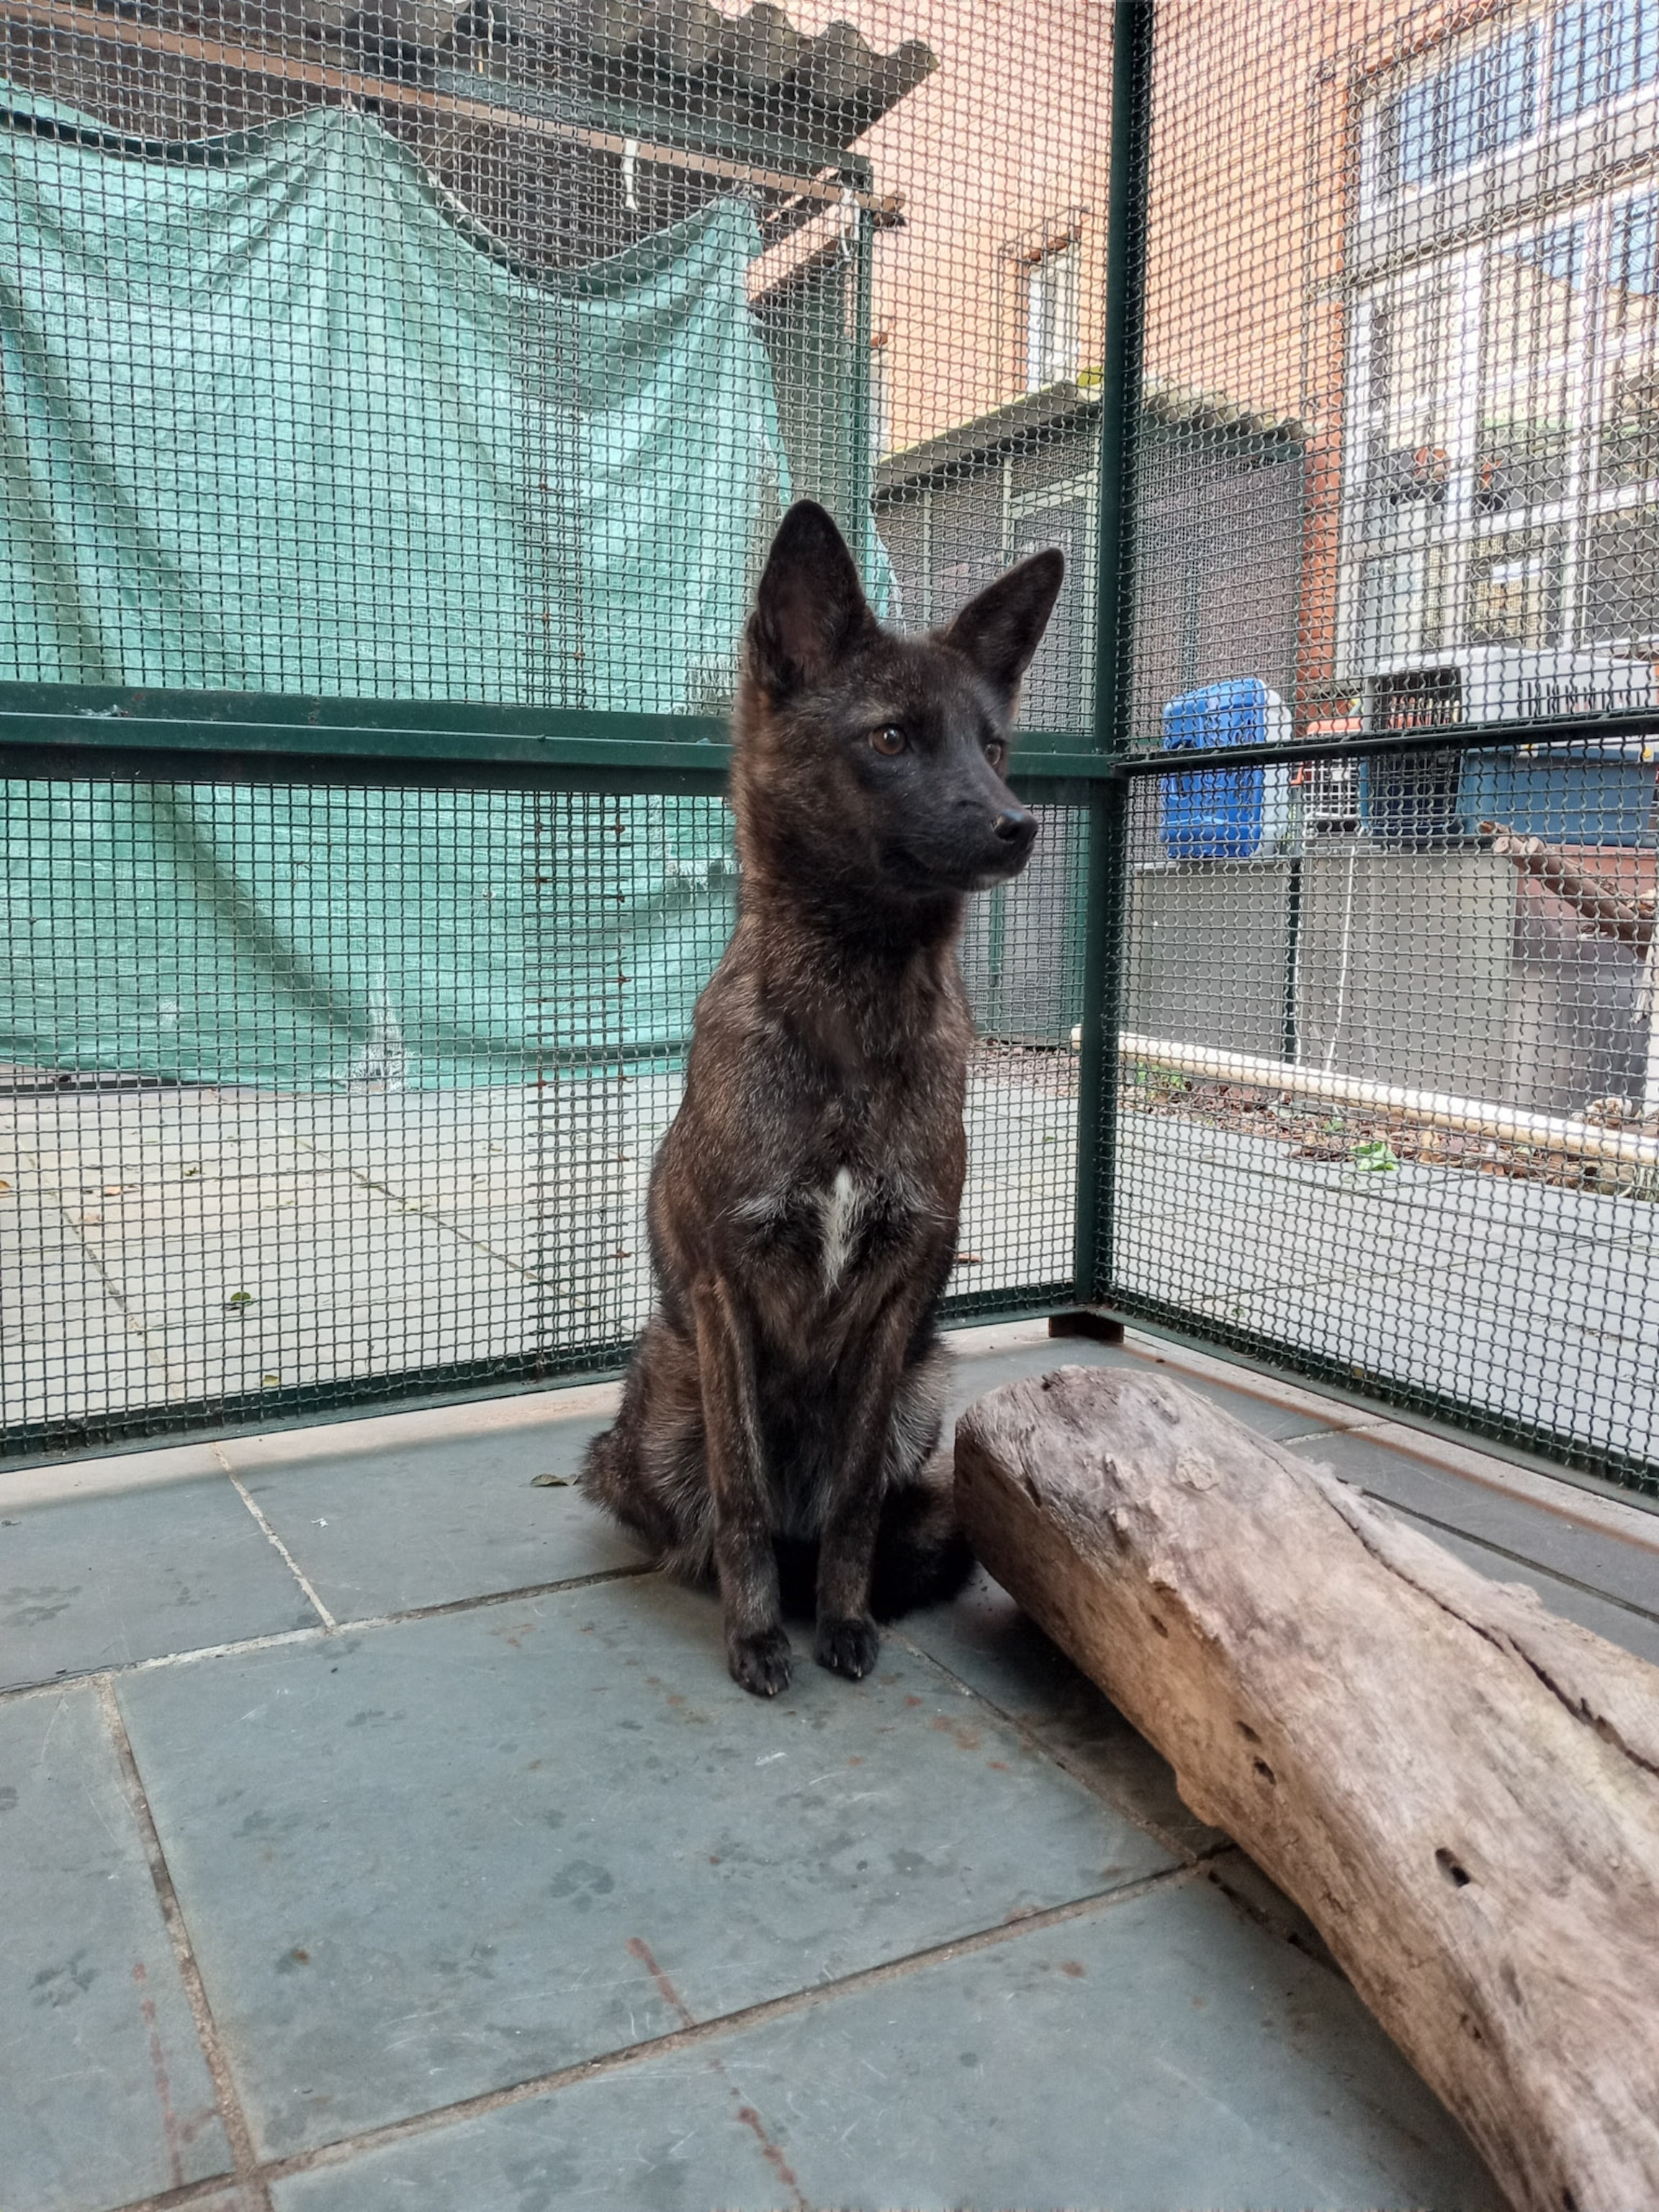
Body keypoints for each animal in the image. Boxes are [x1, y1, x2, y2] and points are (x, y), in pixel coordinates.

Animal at [579, 499, 1063, 1696]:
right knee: (689, 1513)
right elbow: (744, 1495)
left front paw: (841, 1618)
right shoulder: (725, 1290)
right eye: (890, 738)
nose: (1018, 824)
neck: (850, 1018)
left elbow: (848, 1503)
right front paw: (757, 1635)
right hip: (663, 1387)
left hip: (927, 1392)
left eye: (992, 746)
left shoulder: (900, 1301)